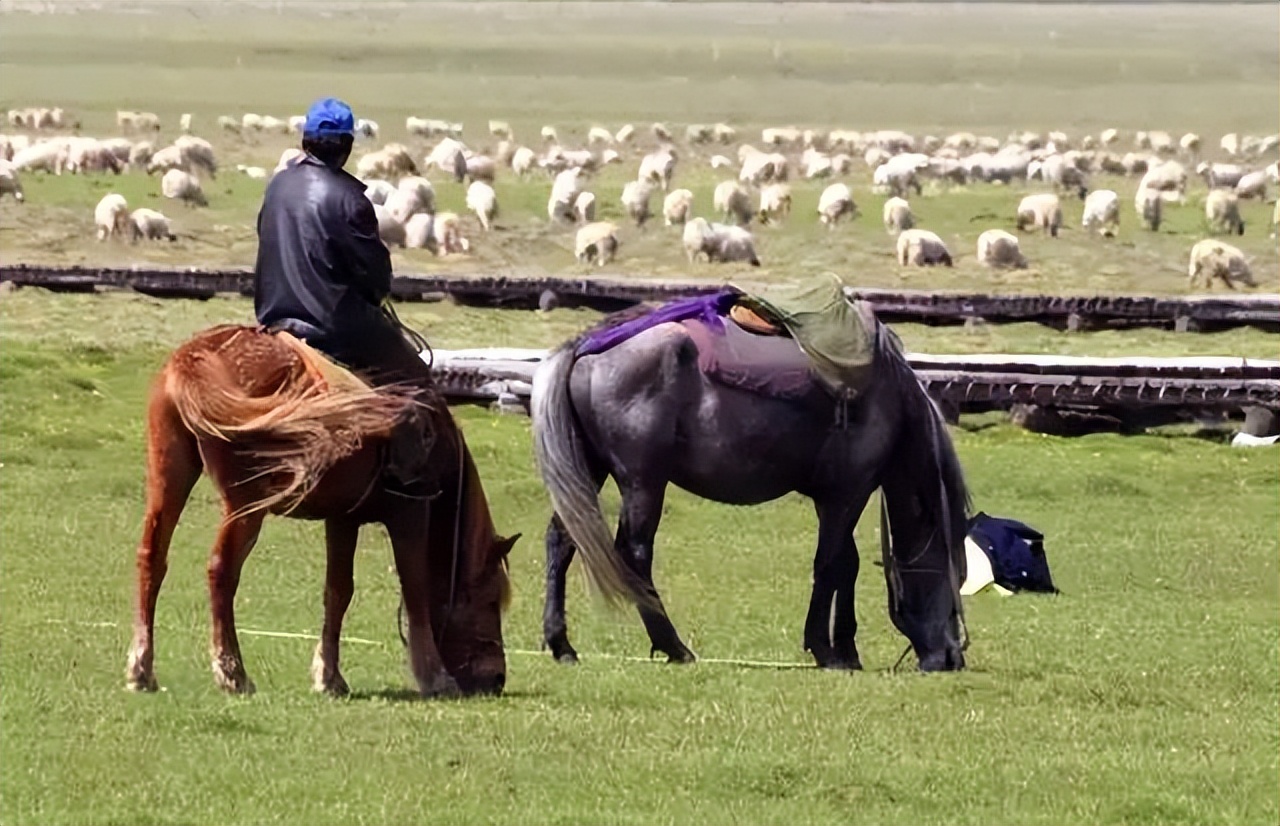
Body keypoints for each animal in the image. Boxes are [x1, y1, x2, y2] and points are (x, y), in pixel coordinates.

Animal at [122, 325, 517, 696]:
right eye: (490, 601)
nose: (496, 679)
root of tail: (196, 357)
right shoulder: (410, 515)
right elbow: (414, 588)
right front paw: (435, 677)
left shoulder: (343, 519)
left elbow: (338, 591)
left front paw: (329, 676)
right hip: (244, 506)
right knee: (221, 570)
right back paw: (232, 673)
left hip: (168, 477)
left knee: (152, 557)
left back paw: (141, 669)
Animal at [529, 299, 967, 671]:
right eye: (954, 576)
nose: (951, 658)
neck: (885, 390)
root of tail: (588, 346)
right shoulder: (848, 494)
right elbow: (830, 564)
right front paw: (826, 649)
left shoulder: (834, 498)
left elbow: (847, 564)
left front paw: (846, 650)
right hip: (643, 483)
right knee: (635, 554)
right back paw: (673, 646)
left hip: (592, 470)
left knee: (562, 540)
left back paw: (562, 644)